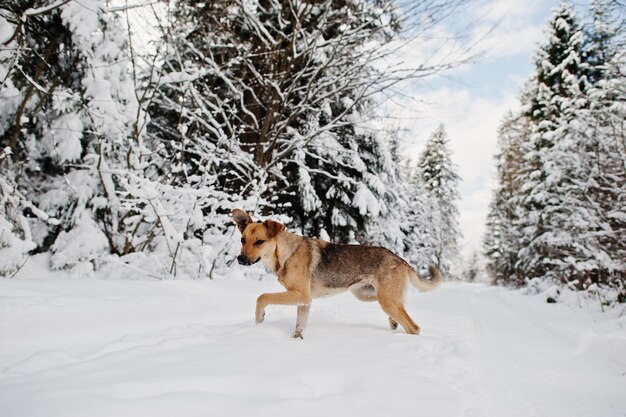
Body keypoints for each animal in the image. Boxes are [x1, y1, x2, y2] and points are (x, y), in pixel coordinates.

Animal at [232, 208, 442, 338]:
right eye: (242, 239)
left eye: (259, 242)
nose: (240, 259)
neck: (284, 253)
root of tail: (399, 259)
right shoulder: (304, 301)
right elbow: (299, 326)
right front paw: (296, 340)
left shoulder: (301, 295)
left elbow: (262, 297)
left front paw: (259, 319)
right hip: (368, 294)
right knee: (401, 308)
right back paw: (393, 322)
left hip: (385, 299)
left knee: (414, 327)